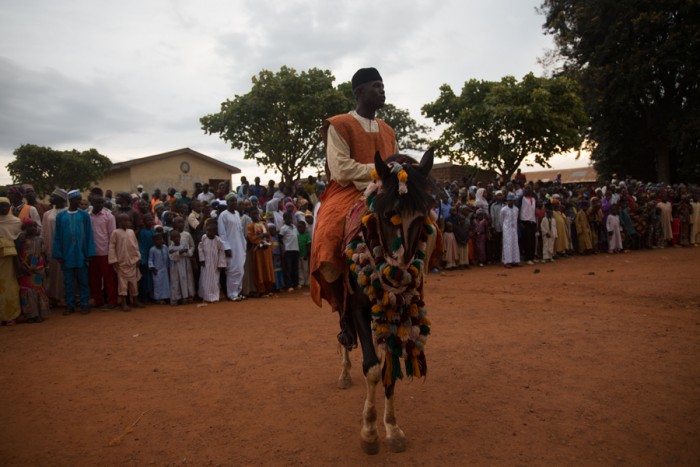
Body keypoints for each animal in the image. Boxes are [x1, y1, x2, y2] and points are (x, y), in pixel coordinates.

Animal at [336, 148, 434, 456]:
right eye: (388, 215)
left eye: (421, 217)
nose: (397, 277)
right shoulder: (357, 307)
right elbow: (373, 368)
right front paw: (369, 432)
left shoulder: (397, 312)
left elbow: (389, 368)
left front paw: (392, 429)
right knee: (341, 325)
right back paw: (344, 371)